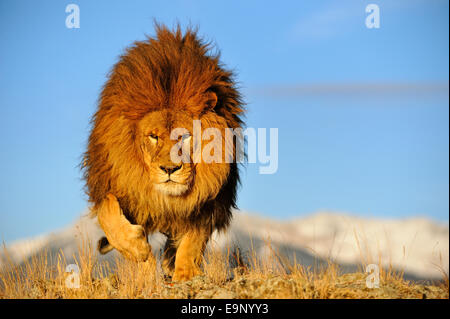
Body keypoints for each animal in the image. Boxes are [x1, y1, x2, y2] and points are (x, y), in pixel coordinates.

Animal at [81, 23, 243, 282]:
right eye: (153, 136)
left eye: (184, 136)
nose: (169, 169)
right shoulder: (113, 183)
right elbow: (109, 214)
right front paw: (139, 252)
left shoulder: (210, 201)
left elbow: (193, 239)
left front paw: (185, 274)